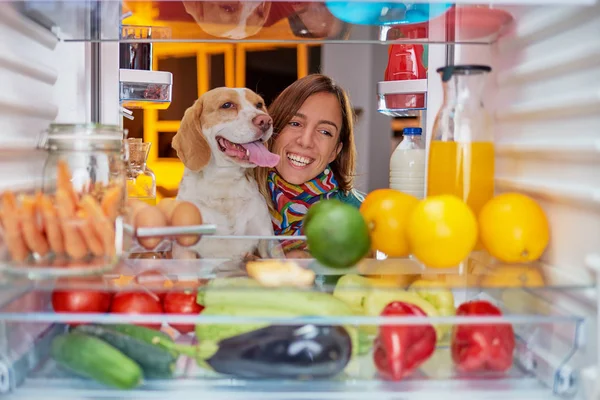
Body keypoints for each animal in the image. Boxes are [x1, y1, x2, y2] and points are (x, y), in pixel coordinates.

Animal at [170, 87, 280, 260]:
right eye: (227, 105)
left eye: (259, 105)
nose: (266, 121)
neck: (224, 185)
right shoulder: (185, 251)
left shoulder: (266, 242)